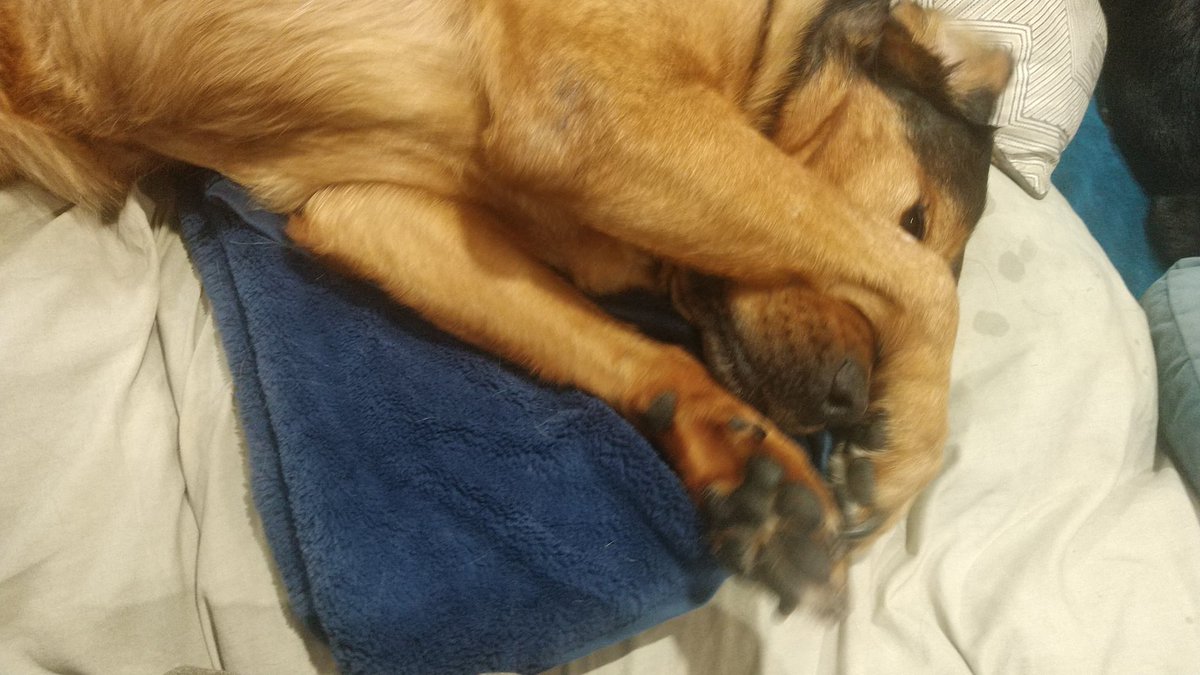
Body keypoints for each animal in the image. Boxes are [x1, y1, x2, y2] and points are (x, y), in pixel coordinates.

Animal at [0, 0, 1009, 612]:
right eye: (914, 218)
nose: (847, 399)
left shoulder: (370, 210)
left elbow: (641, 355)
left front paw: (747, 463)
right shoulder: (591, 104)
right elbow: (918, 286)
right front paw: (908, 445)